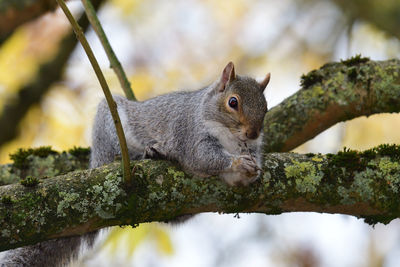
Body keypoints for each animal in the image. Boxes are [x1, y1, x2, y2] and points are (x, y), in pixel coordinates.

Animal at [0, 62, 268, 266]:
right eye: (233, 102)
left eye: (265, 108)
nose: (253, 133)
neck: (230, 137)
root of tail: (95, 160)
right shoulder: (190, 134)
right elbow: (202, 157)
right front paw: (236, 164)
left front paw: (250, 171)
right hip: (109, 131)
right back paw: (150, 153)